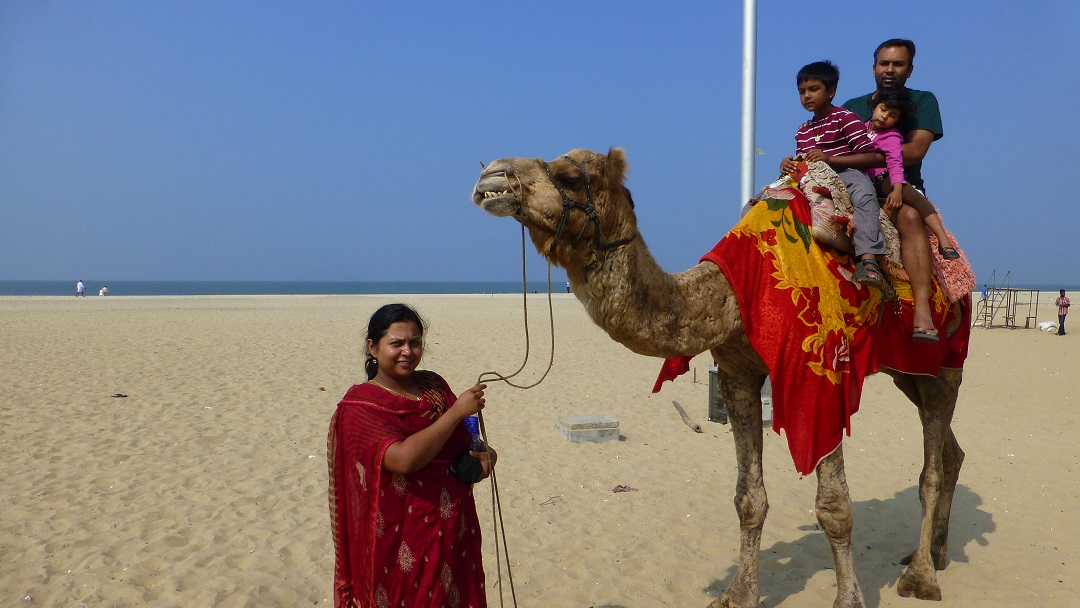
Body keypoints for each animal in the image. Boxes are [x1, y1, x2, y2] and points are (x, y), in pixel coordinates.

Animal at [468, 149, 967, 608]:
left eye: (569, 175)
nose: (491, 174)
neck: (732, 293)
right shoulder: (737, 374)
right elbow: (749, 498)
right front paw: (739, 594)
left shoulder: (822, 376)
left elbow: (834, 507)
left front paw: (849, 601)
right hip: (907, 372)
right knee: (950, 452)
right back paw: (938, 552)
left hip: (945, 362)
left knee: (930, 467)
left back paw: (921, 577)